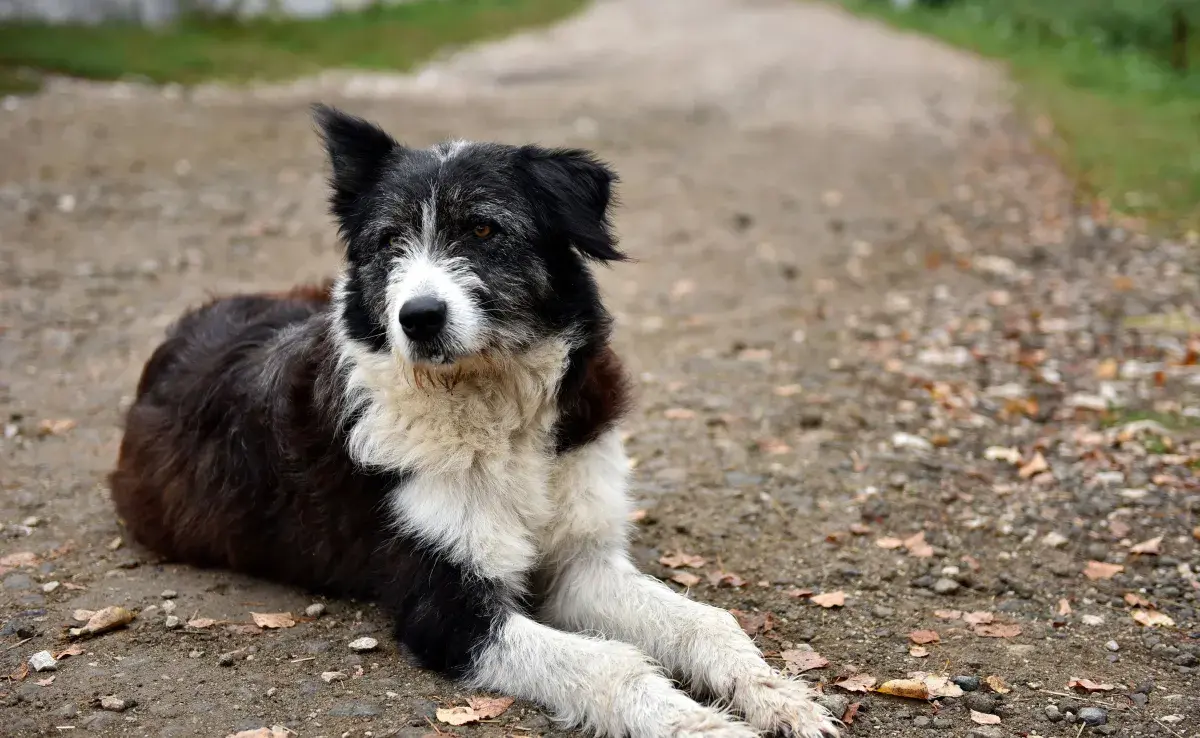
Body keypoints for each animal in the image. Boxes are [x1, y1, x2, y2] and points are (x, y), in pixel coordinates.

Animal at [112, 103, 840, 738]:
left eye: (485, 230)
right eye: (389, 241)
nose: (418, 318)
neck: (492, 403)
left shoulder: (582, 564)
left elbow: (706, 622)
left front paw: (779, 696)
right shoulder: (448, 610)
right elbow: (611, 664)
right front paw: (702, 726)